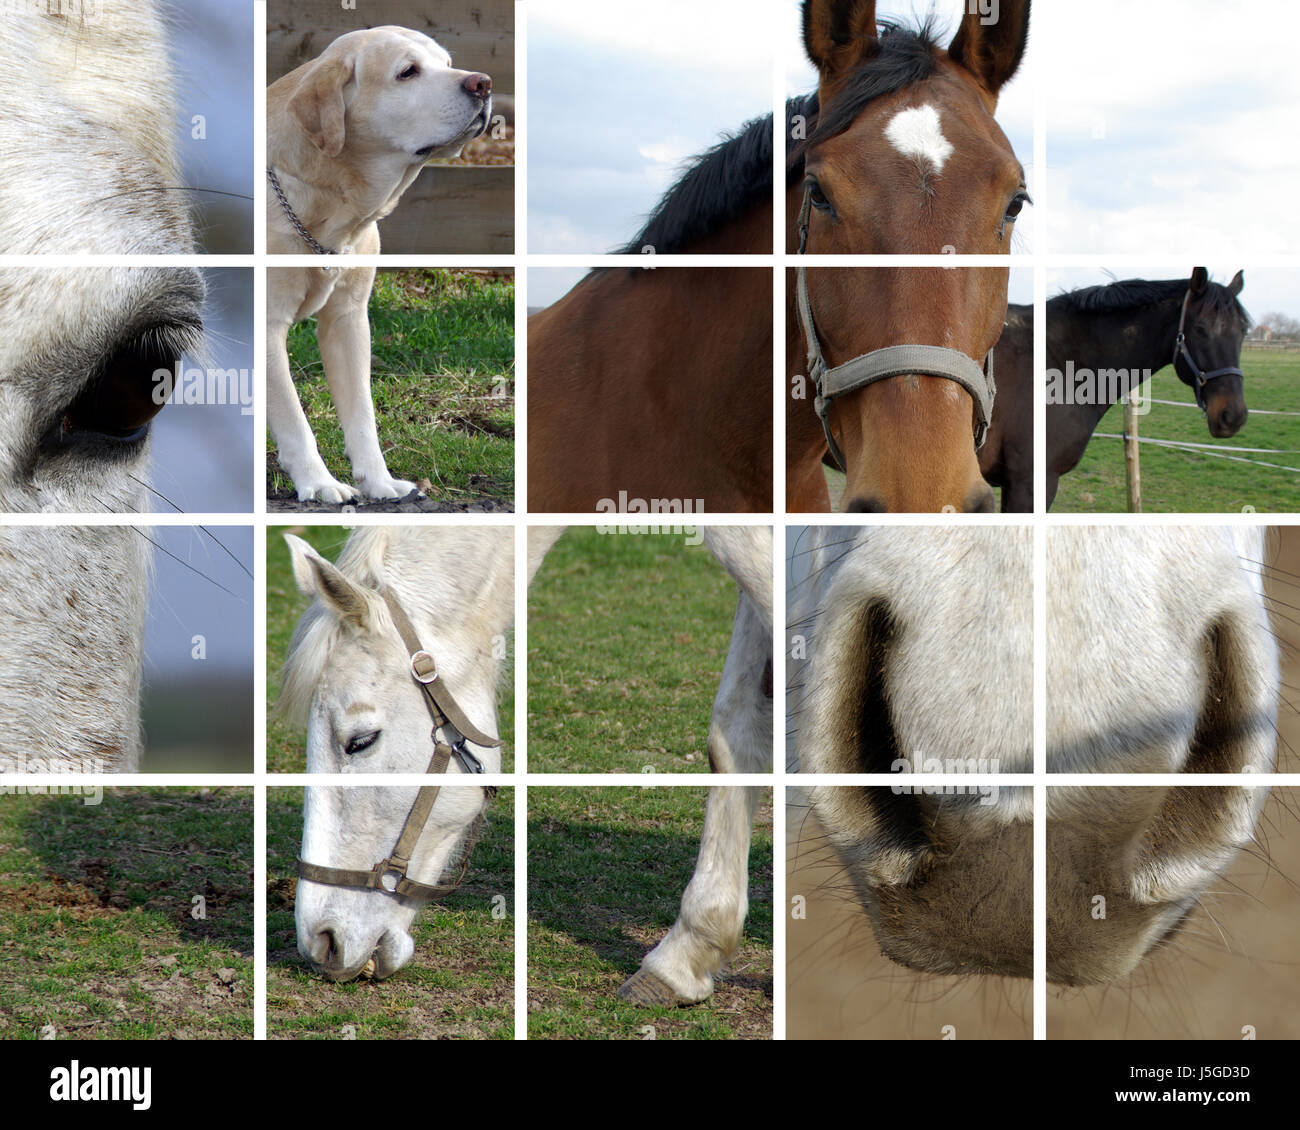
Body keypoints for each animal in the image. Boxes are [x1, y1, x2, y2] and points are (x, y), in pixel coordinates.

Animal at [266, 26, 488, 499]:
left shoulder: (348, 319)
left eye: (447, 63)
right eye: (408, 72)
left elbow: (362, 412)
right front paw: (319, 482)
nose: (483, 83)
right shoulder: (268, 326)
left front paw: (379, 481)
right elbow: (293, 416)